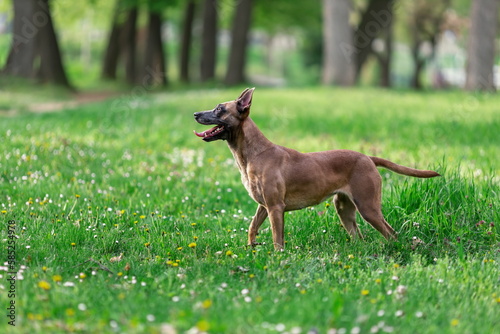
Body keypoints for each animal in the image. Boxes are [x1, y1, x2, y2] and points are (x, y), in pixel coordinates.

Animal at [193, 87, 440, 249]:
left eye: (219, 109)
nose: (195, 114)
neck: (253, 153)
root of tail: (367, 158)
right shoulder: (263, 206)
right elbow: (252, 228)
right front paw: (252, 249)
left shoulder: (275, 208)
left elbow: (277, 239)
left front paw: (277, 258)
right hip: (345, 210)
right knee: (360, 237)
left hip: (368, 207)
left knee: (391, 233)